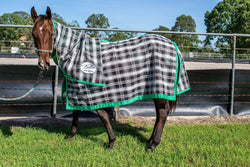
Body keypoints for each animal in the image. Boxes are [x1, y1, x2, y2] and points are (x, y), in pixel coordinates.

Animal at [31, 6, 179, 151]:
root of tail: (172, 44)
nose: (43, 64)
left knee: (162, 113)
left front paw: (111, 142)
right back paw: (149, 140)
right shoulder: (78, 89)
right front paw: (70, 135)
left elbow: (102, 115)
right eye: (33, 34)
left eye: (51, 33)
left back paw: (153, 144)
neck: (76, 52)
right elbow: (76, 111)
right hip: (155, 89)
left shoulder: (93, 91)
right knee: (159, 114)